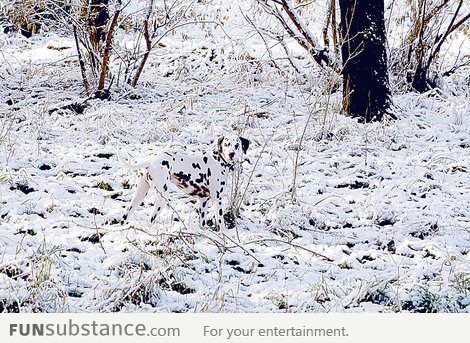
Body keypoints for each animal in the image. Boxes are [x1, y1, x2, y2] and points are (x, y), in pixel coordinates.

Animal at [117, 136, 250, 232]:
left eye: (237, 145)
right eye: (226, 144)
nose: (231, 154)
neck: (219, 161)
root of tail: (149, 161)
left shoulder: (203, 201)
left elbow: (202, 223)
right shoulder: (217, 200)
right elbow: (221, 222)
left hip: (138, 196)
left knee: (125, 216)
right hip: (162, 198)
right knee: (150, 220)